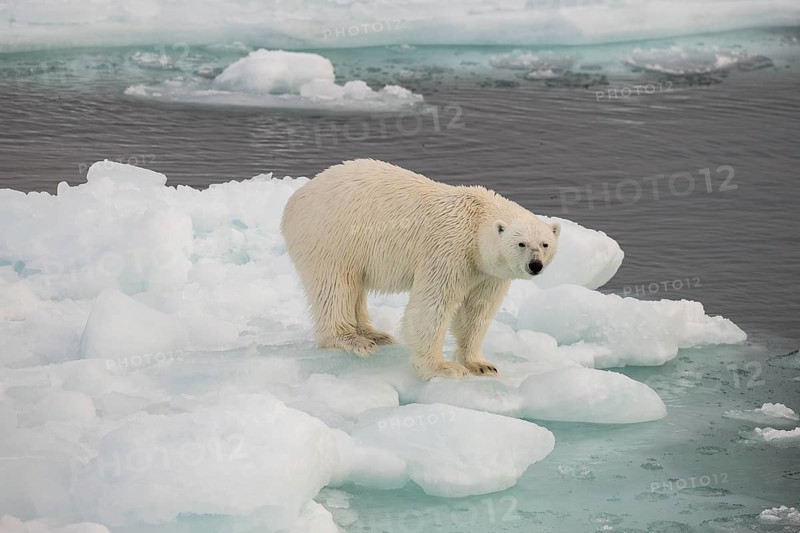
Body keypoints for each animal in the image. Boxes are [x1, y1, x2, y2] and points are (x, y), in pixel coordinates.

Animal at [281, 159, 560, 380]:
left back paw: (374, 334)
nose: (535, 265)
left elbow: (476, 310)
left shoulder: (486, 273)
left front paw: (480, 364)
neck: (475, 221)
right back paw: (352, 340)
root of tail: (295, 199)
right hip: (332, 236)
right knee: (336, 285)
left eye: (545, 243)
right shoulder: (449, 249)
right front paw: (442, 367)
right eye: (521, 243)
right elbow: (433, 304)